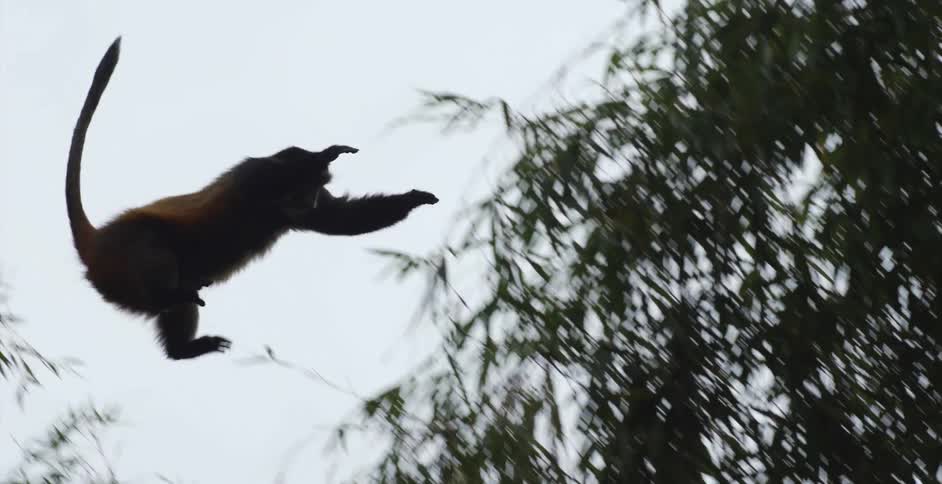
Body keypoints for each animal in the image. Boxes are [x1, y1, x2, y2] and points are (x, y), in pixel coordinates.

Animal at [66, 37, 439, 361]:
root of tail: (95, 245)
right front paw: (325, 154)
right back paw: (169, 295)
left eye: (315, 192)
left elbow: (337, 220)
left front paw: (413, 199)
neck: (272, 197)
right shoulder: (259, 175)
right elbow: (294, 163)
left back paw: (181, 348)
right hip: (124, 253)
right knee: (155, 244)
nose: (308, 201)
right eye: (305, 189)